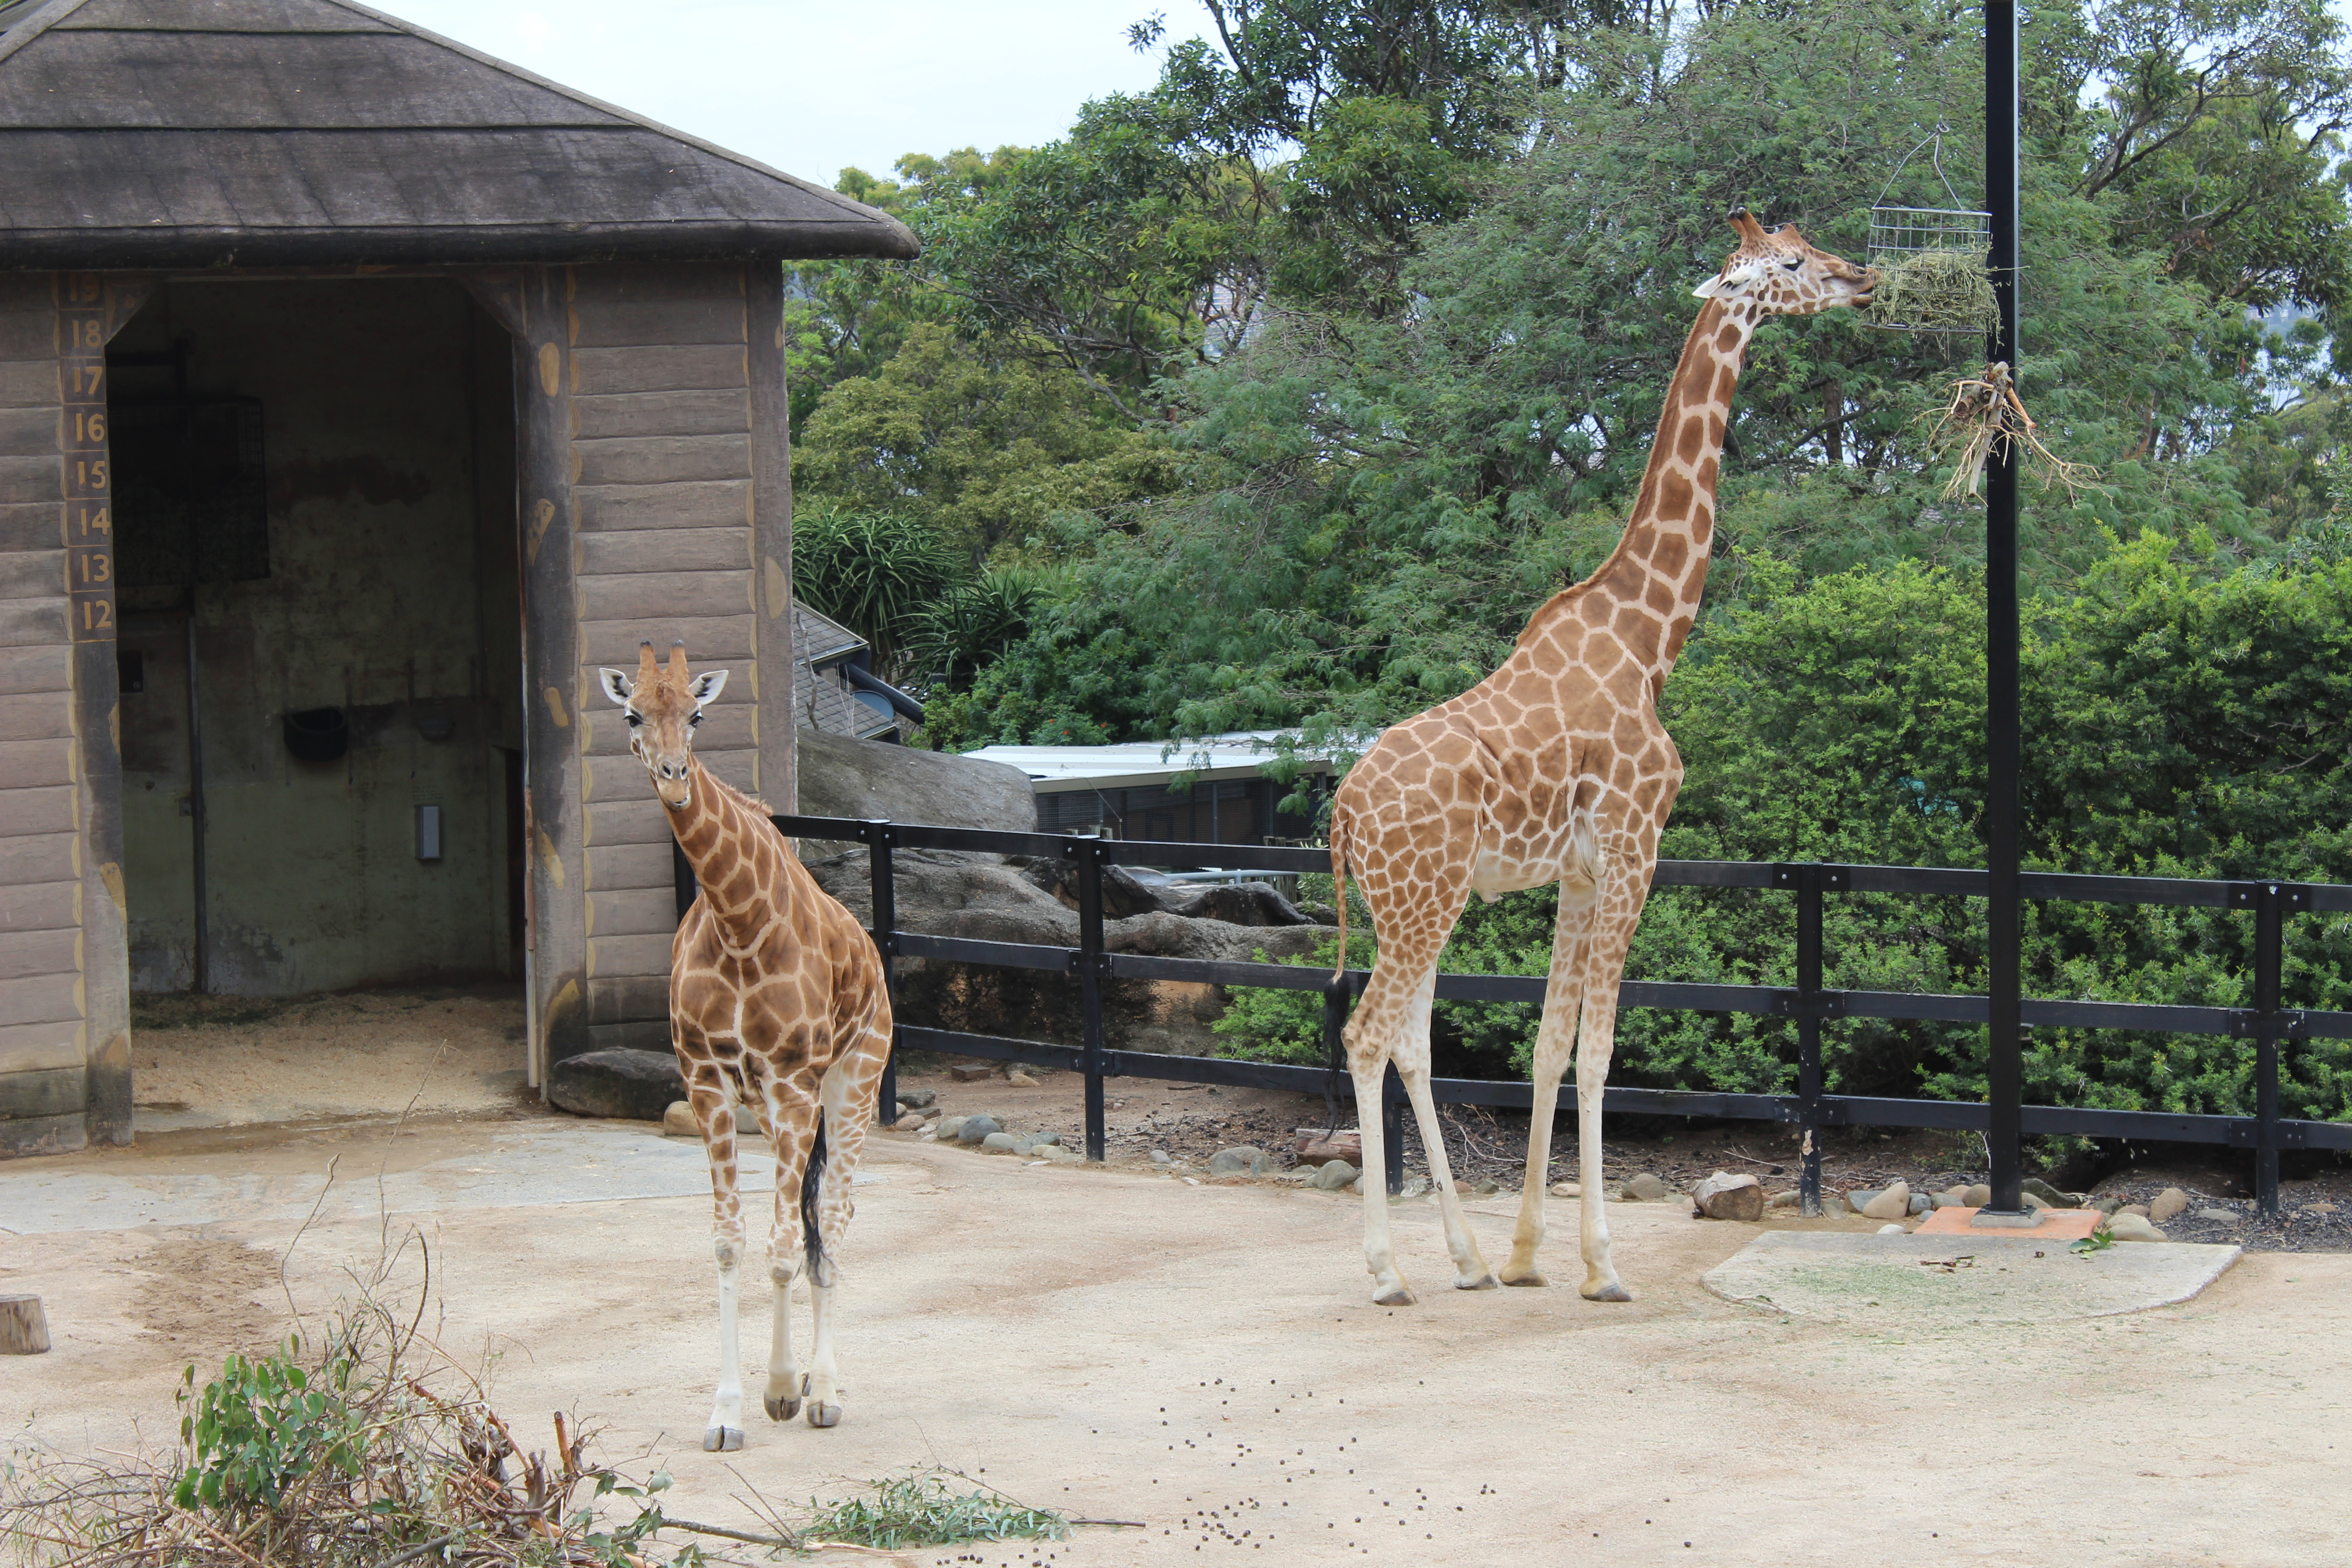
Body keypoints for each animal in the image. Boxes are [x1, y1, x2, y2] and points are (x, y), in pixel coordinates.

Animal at [602, 644, 893, 1457]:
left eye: (697, 714)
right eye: (632, 713)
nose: (673, 776)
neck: (737, 920)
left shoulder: (795, 1081)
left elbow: (784, 1246)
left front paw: (783, 1391)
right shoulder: (705, 1081)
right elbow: (732, 1243)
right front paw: (729, 1410)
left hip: (853, 1081)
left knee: (833, 1214)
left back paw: (822, 1392)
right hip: (769, 1103)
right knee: (805, 1213)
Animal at [1336, 211, 1862, 1316]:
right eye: (1790, 262)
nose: (1861, 279)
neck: (1650, 638)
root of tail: (1343, 811)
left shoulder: (1578, 869)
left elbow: (1545, 1048)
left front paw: (1530, 1254)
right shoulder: (1635, 846)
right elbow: (1599, 1051)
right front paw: (1604, 1266)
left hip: (1419, 902)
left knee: (1408, 1039)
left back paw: (1467, 1260)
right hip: (1423, 900)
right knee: (1368, 1035)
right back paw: (1390, 1273)